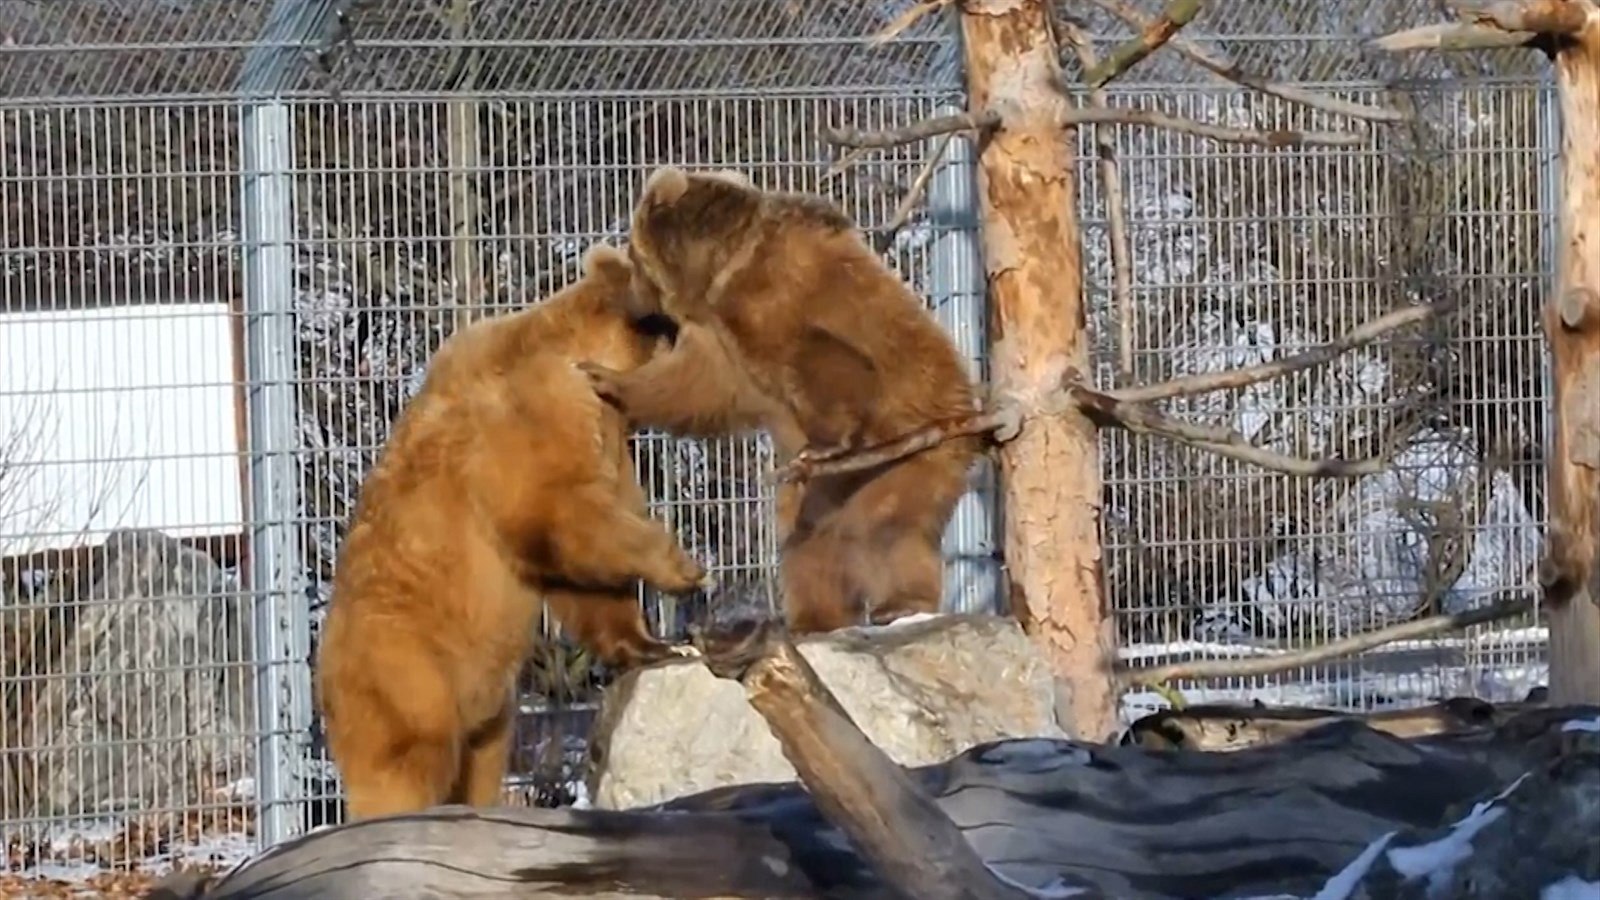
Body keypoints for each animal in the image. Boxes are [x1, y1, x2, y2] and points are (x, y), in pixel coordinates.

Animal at [314, 242, 708, 820]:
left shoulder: (606, 440)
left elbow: (580, 578)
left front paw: (656, 643)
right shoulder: (530, 422)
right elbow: (556, 515)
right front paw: (684, 567)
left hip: (490, 708)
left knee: (481, 761)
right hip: (406, 669)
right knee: (408, 762)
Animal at [579, 166, 982, 635]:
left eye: (633, 252)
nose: (631, 297)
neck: (717, 271)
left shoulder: (773, 298)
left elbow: (820, 356)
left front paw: (829, 439)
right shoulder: (720, 341)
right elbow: (694, 386)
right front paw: (604, 378)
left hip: (911, 450)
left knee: (889, 528)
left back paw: (900, 603)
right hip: (819, 494)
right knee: (809, 547)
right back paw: (814, 617)